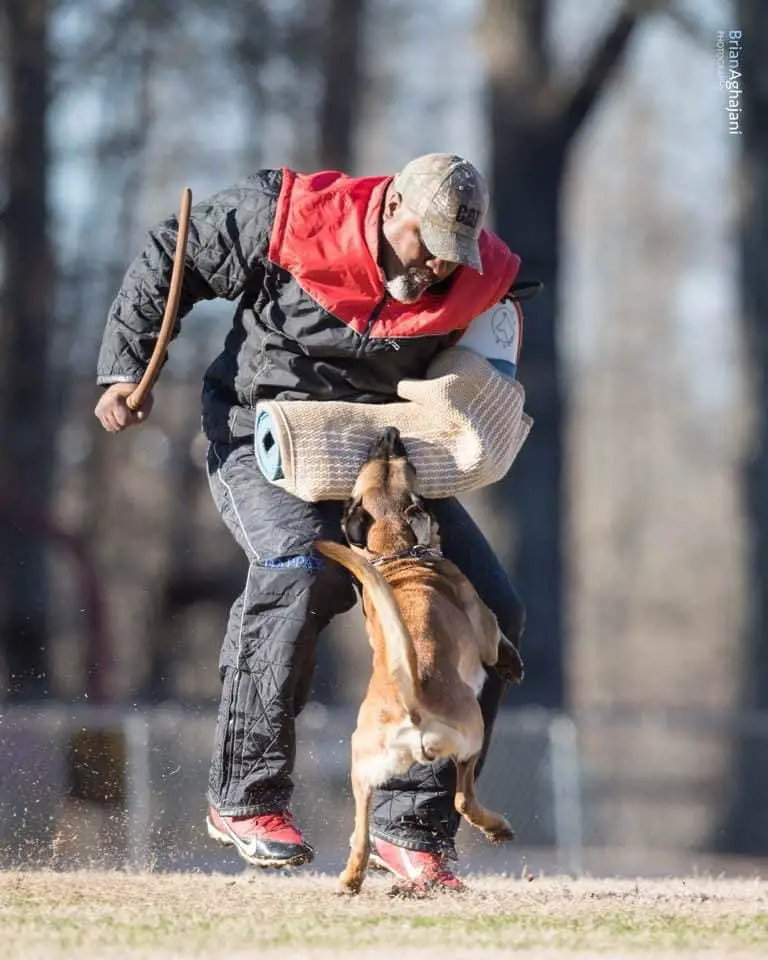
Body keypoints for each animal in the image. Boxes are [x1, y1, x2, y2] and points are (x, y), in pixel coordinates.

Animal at [312, 426, 520, 892]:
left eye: (376, 461)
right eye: (399, 460)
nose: (388, 432)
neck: (397, 548)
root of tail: (410, 702)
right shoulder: (484, 624)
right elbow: (497, 642)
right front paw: (511, 664)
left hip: (360, 767)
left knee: (361, 833)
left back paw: (351, 878)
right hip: (471, 735)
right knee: (462, 798)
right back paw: (497, 827)